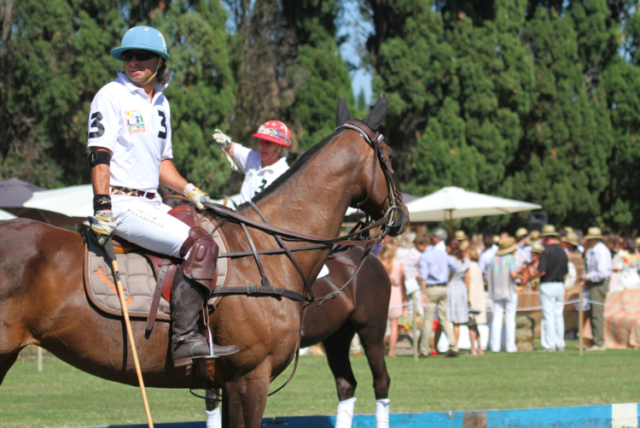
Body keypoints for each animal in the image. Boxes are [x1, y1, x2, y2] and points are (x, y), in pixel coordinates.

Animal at [0, 95, 408, 426]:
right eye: (390, 158)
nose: (401, 216)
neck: (272, 248)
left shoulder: (230, 380)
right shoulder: (249, 377)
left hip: (353, 332)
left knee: (357, 383)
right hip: (369, 330)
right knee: (376, 382)